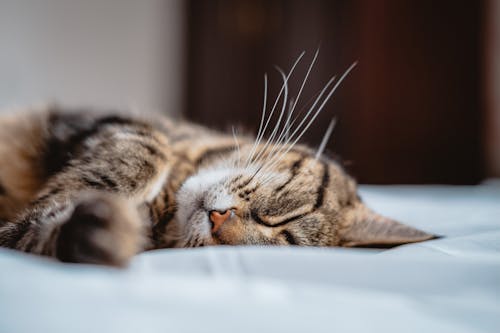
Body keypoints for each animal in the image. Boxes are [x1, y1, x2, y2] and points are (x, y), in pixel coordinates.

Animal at [0, 53, 436, 266]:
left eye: (283, 240)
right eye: (280, 218)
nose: (218, 222)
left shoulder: (19, 235)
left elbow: (34, 231)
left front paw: (105, 230)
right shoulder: (100, 118)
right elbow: (148, 149)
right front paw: (79, 189)